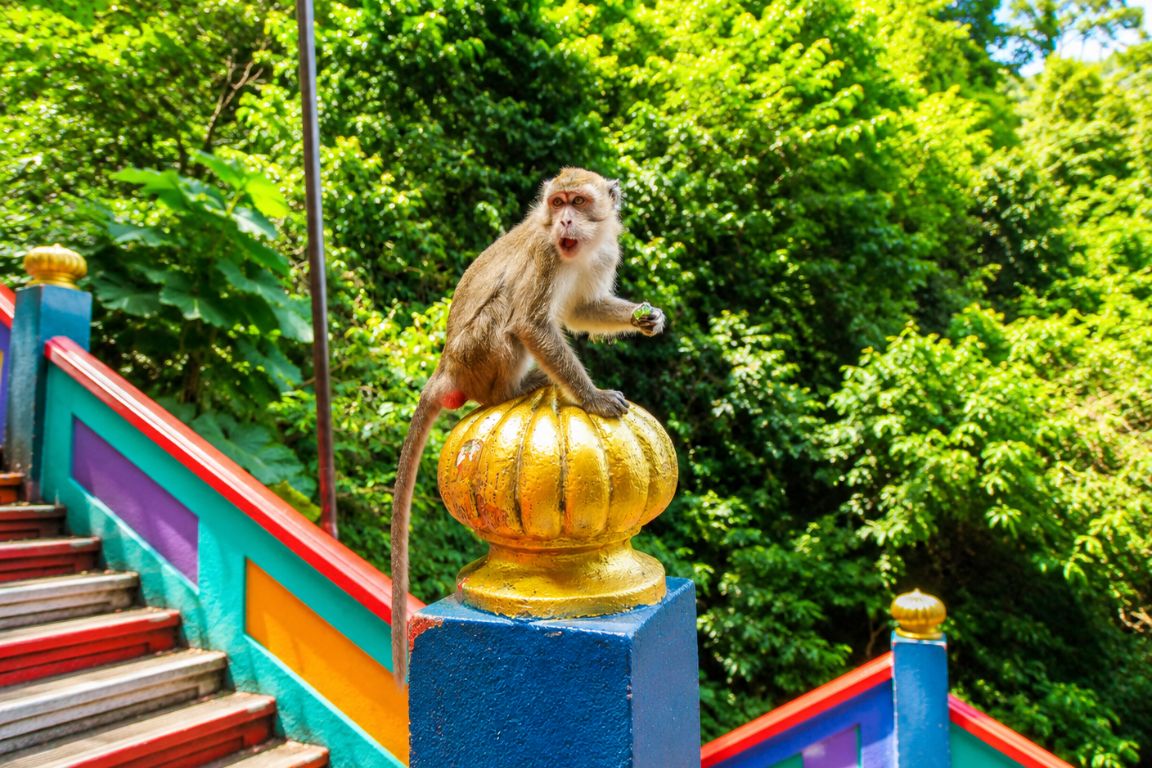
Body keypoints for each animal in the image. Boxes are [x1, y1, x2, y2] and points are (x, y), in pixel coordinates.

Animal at [390, 167, 666, 683]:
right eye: (557, 202)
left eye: (578, 201)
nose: (564, 220)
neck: (576, 247)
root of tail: (447, 367)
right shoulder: (544, 253)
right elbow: (532, 324)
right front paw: (593, 397)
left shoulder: (603, 252)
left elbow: (581, 308)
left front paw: (647, 316)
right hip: (478, 356)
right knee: (507, 310)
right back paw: (519, 387)